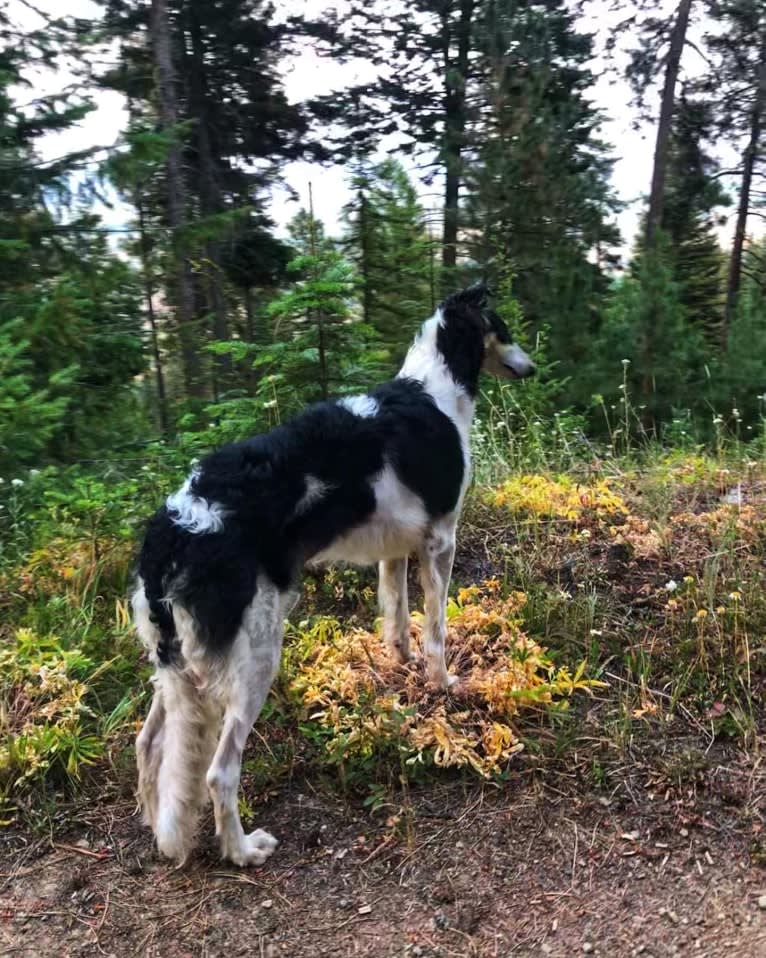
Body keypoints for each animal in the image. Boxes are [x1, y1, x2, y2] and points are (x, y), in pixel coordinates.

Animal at [132, 282, 536, 868]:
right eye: (502, 329)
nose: (531, 367)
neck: (434, 389)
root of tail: (173, 529)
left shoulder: (397, 550)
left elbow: (398, 623)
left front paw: (402, 669)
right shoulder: (441, 541)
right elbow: (436, 632)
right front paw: (443, 684)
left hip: (176, 666)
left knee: (149, 744)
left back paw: (155, 826)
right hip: (254, 658)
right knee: (218, 773)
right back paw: (242, 850)